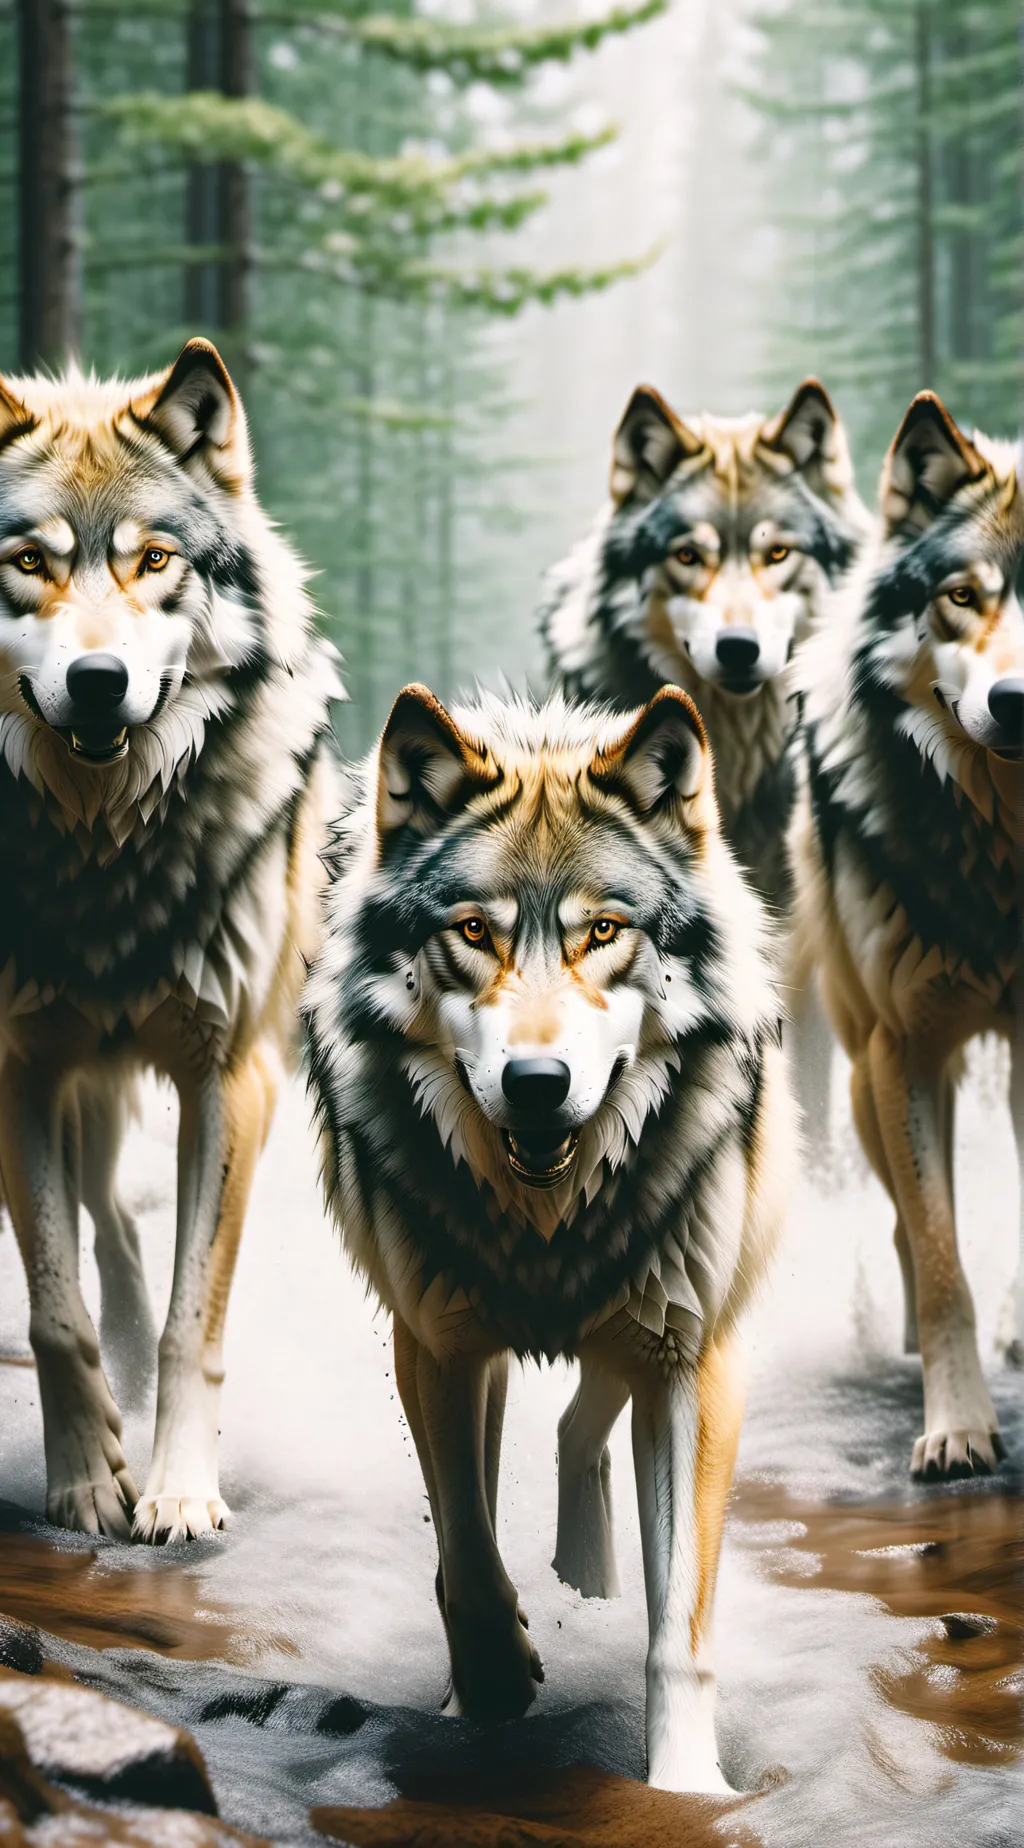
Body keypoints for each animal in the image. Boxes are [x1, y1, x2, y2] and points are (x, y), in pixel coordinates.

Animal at [0, 339, 341, 1541]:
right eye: (28, 563)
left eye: (154, 561)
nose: (98, 682)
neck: (103, 847)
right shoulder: (18, 1069)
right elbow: (55, 1306)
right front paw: (82, 1480)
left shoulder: (227, 1078)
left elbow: (198, 1318)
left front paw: (182, 1491)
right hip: (80, 1089)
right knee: (107, 1227)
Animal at [304, 682, 793, 1792]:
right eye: (473, 932)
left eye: (603, 930)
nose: (536, 1084)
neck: (548, 1225)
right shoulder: (435, 1348)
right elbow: (470, 1554)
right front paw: (488, 1686)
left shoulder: (694, 1366)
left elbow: (679, 1628)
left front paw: (688, 1789)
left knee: (588, 1417)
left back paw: (588, 1554)